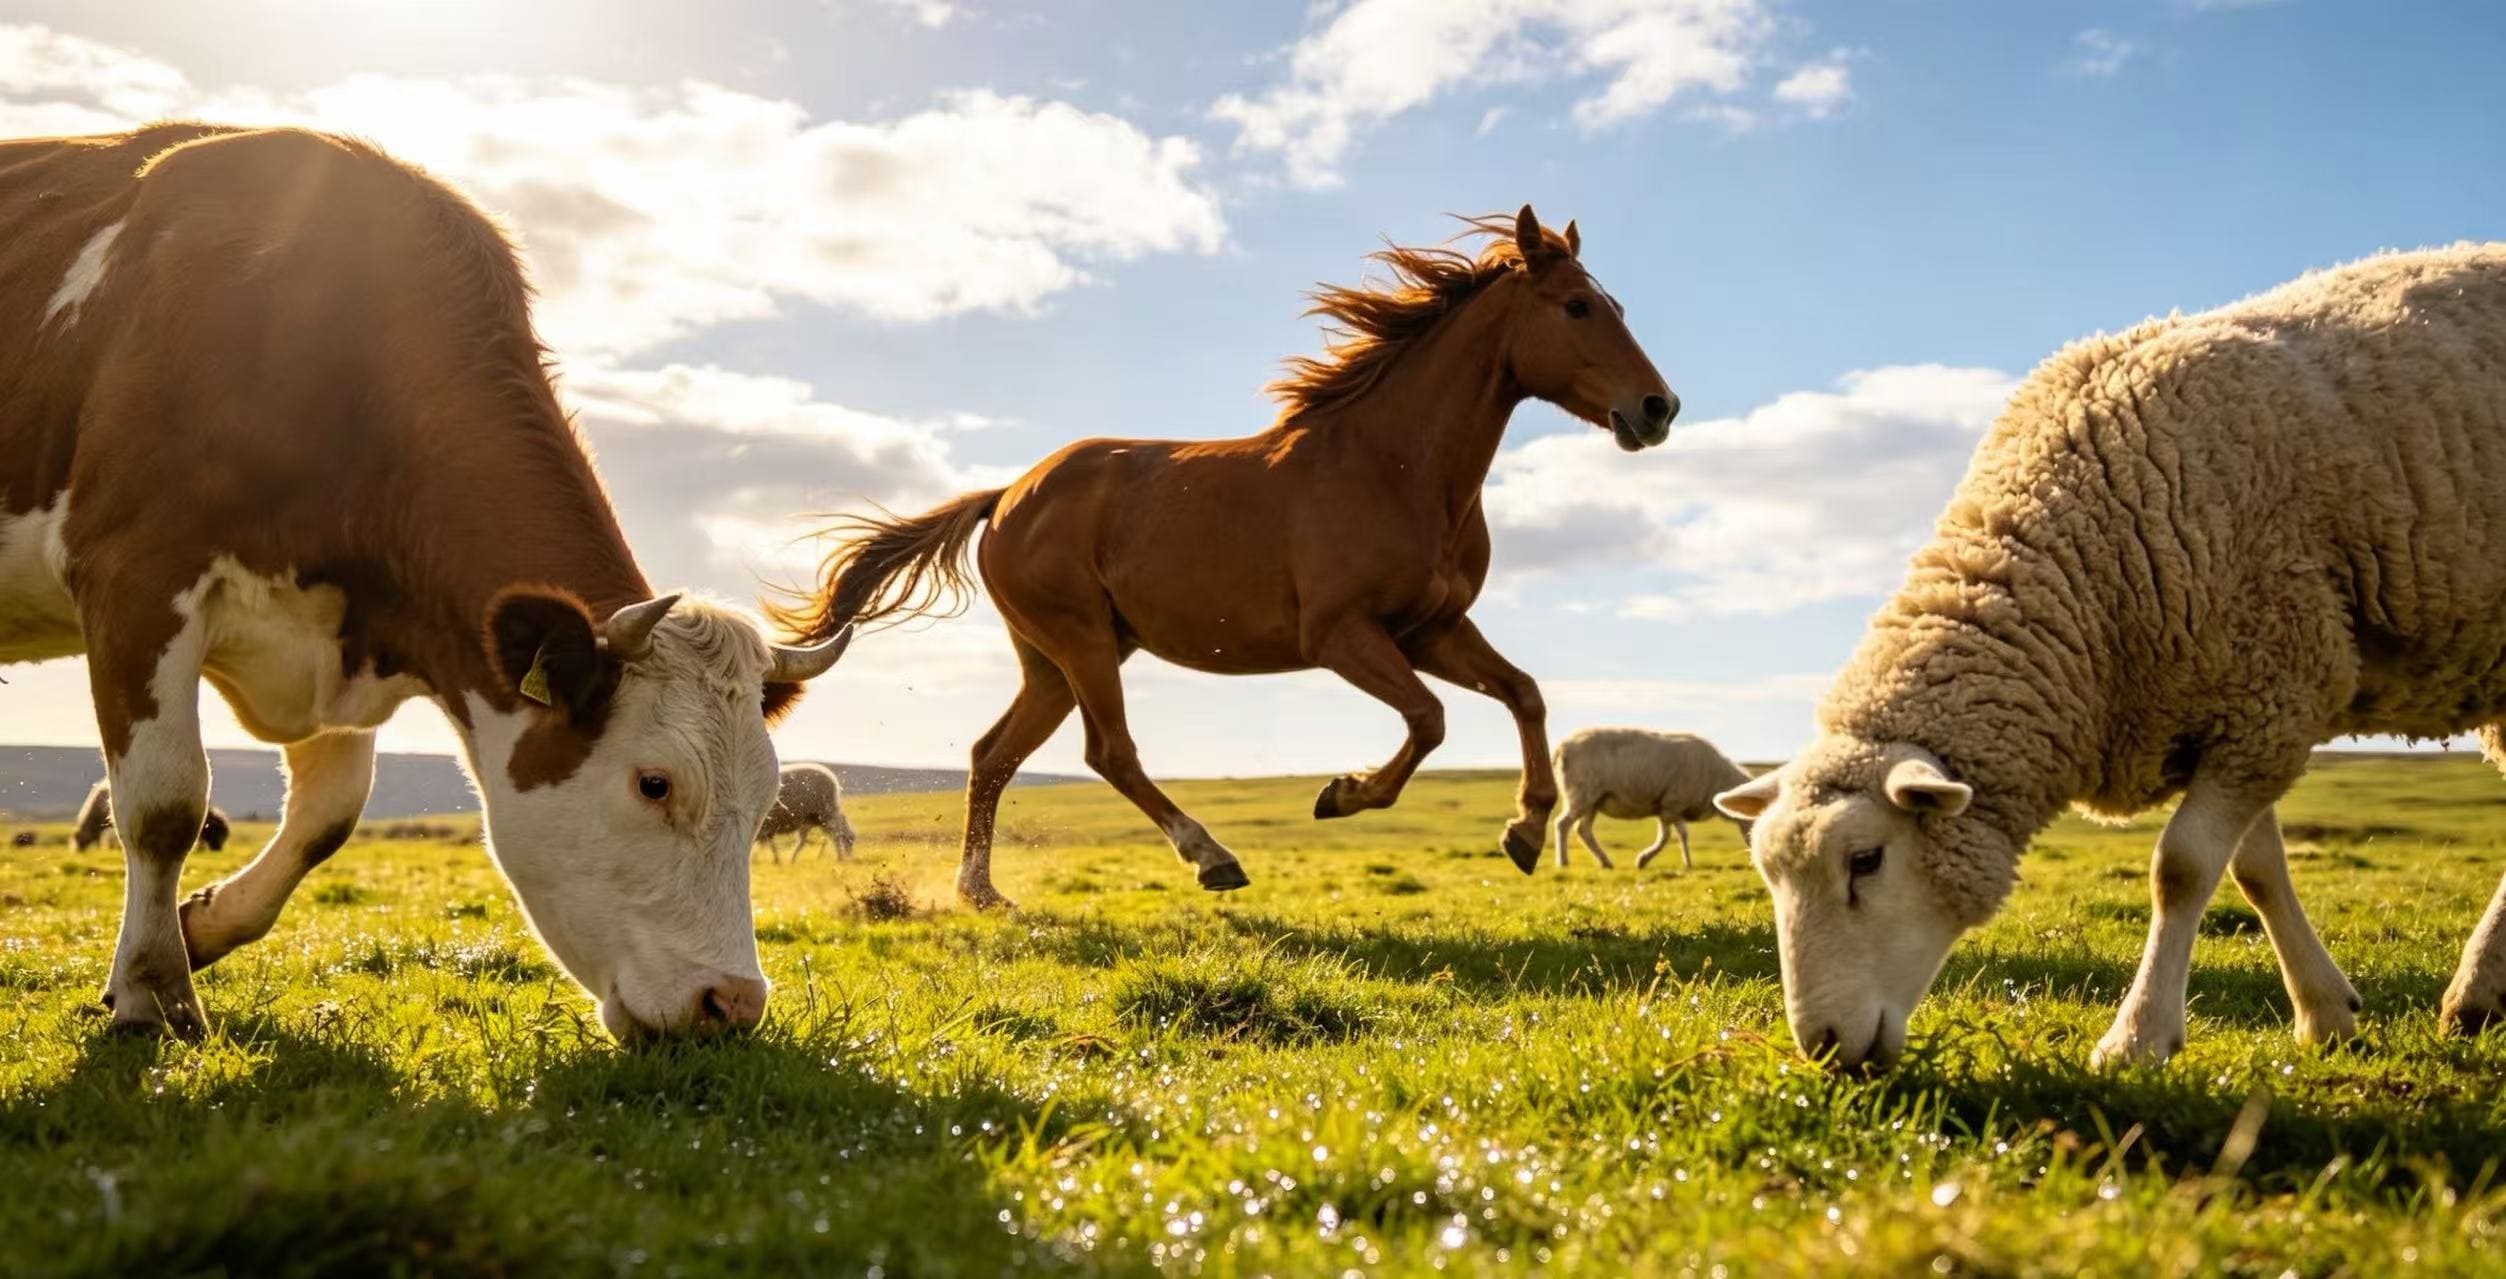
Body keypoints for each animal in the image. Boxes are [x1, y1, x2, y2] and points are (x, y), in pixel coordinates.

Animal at [776, 206, 1678, 908]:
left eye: (1615, 303)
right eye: (1577, 306)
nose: (1658, 407)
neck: (1394, 466)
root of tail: (1006, 497)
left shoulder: (1431, 629)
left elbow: (1523, 694)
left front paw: (1522, 828)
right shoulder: (1343, 636)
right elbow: (1429, 718)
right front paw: (1343, 794)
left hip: (1055, 660)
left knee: (992, 755)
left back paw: (982, 892)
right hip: (1081, 642)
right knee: (1108, 752)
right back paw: (1212, 857)